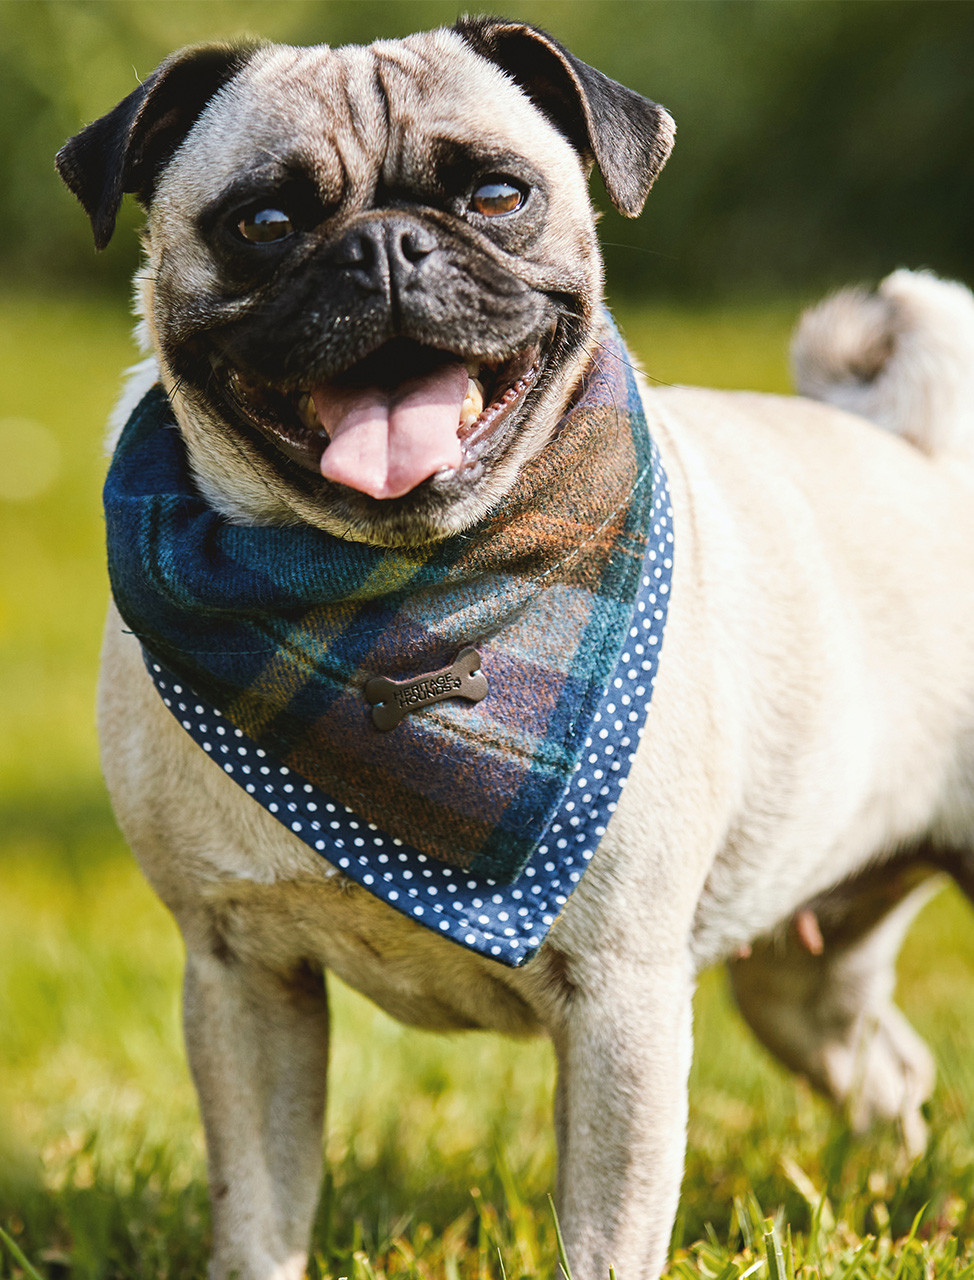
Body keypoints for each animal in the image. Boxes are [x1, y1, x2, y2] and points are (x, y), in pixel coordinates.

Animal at [56, 17, 972, 1280]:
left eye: (496, 195)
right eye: (264, 223)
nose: (385, 245)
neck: (395, 596)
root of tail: (925, 452)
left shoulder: (622, 999)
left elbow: (605, 1232)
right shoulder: (242, 975)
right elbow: (258, 1215)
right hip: (800, 975)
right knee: (885, 1063)